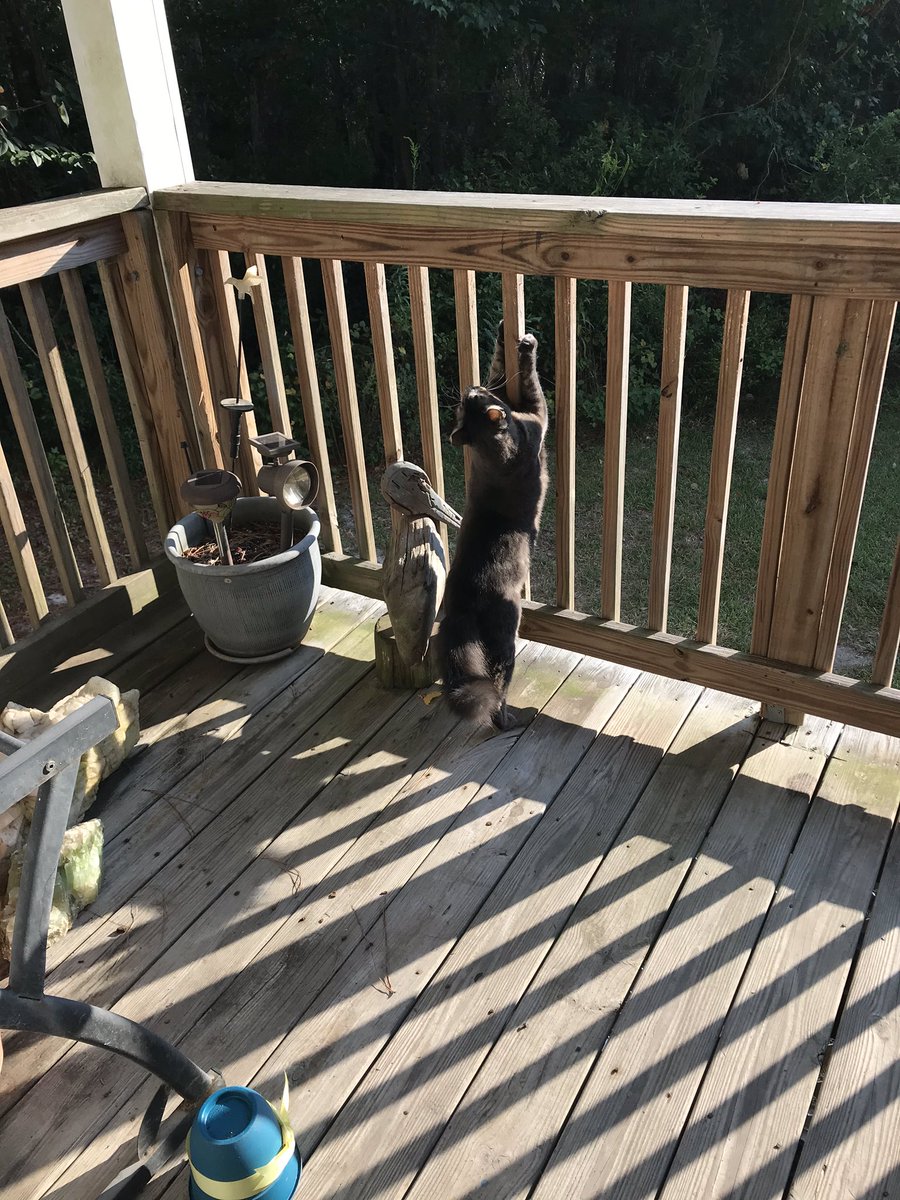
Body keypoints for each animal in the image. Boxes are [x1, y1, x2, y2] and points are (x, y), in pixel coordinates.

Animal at [439, 321, 549, 729]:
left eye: (473, 395)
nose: (471, 384)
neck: (494, 453)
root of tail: (462, 606)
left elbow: (502, 366)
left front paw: (505, 332)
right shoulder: (534, 417)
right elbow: (530, 382)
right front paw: (528, 345)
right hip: (505, 637)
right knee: (498, 683)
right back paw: (508, 718)